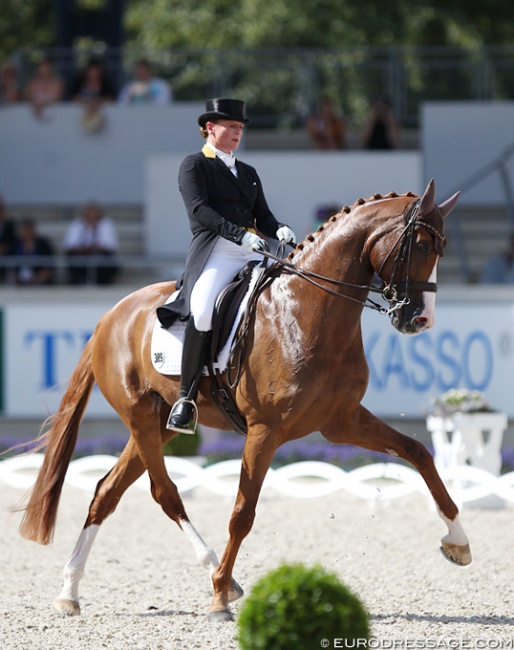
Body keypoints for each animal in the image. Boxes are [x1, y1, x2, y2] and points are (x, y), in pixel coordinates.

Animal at [19, 177, 468, 616]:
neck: (308, 311)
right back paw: (215, 574)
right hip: (141, 416)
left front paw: (458, 542)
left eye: (442, 249)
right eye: (421, 246)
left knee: (106, 491)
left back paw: (69, 592)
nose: (421, 320)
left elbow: (418, 452)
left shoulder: (341, 421)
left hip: (160, 423)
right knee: (165, 494)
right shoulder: (264, 430)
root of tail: (110, 316)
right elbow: (242, 513)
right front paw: (219, 595)